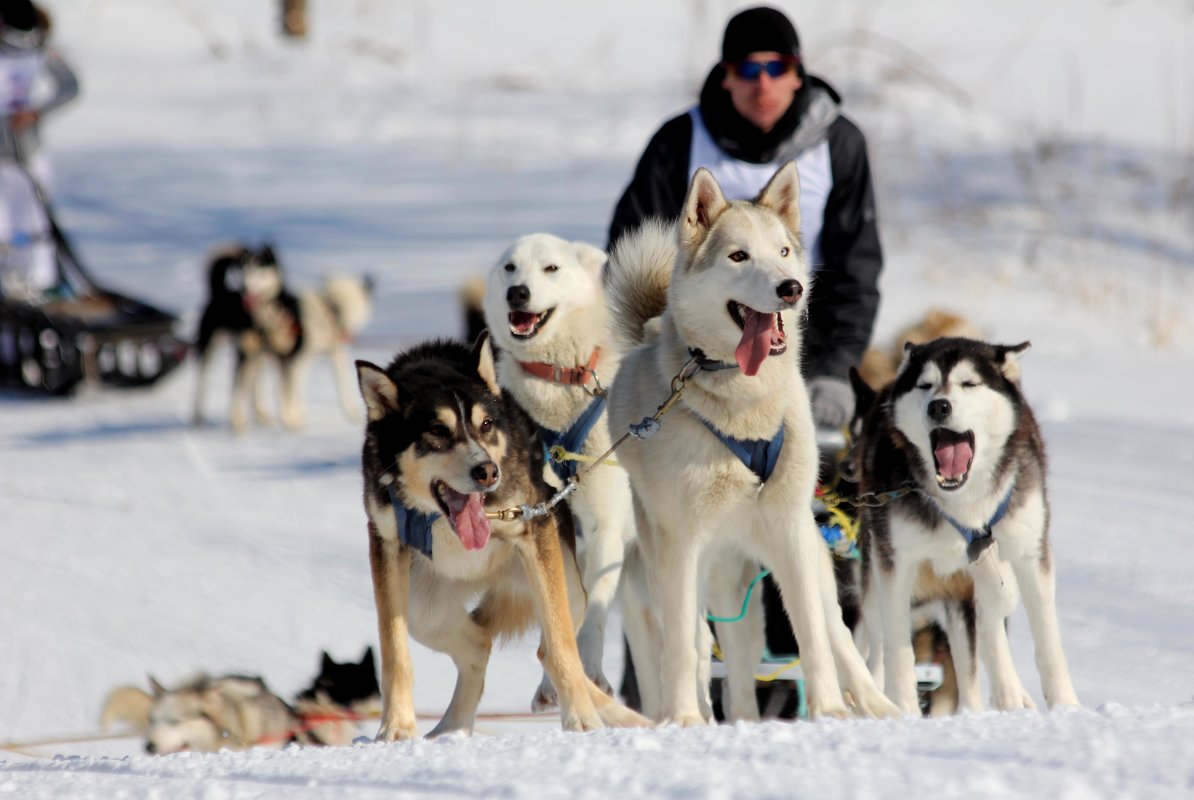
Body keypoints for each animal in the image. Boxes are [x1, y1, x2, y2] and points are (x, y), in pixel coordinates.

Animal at [355, 334, 654, 740]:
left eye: (486, 424)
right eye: (437, 431)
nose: (487, 471)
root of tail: (486, 578)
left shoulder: (534, 526)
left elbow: (561, 646)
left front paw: (582, 720)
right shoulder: (386, 543)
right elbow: (395, 654)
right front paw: (397, 728)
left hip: (569, 583)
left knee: (551, 646)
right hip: (425, 609)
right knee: (479, 643)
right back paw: (451, 730)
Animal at [479, 231, 639, 706]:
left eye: (551, 268)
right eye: (510, 268)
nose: (518, 292)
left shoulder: (603, 527)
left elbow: (589, 613)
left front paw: (587, 671)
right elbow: (561, 609)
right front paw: (556, 682)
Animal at [606, 164, 897, 725]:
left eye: (782, 251)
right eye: (738, 256)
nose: (791, 288)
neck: (743, 411)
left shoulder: (788, 530)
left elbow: (813, 634)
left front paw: (829, 709)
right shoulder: (678, 546)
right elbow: (683, 646)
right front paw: (684, 718)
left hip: (785, 560)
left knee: (827, 634)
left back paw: (873, 701)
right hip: (678, 572)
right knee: (699, 645)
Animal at [859, 336, 1084, 716]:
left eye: (969, 383)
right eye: (925, 385)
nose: (939, 407)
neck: (964, 503)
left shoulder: (1029, 554)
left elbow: (1046, 640)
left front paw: (1066, 706)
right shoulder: (896, 563)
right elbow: (898, 648)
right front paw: (902, 708)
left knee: (990, 631)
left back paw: (1008, 696)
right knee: (874, 639)